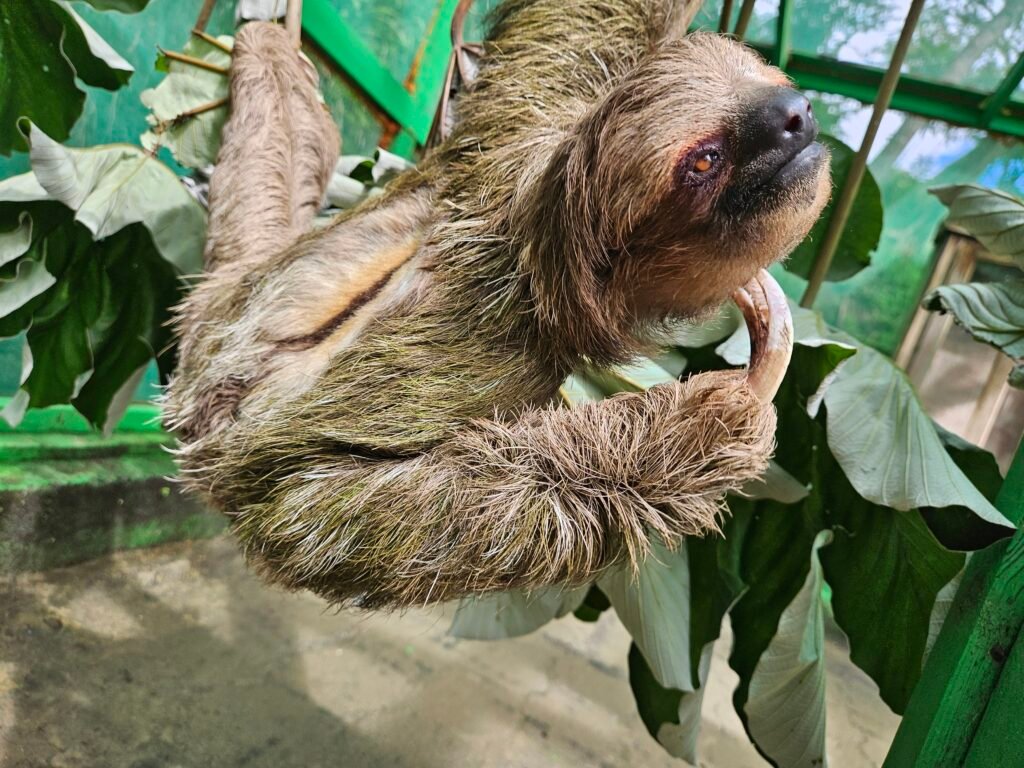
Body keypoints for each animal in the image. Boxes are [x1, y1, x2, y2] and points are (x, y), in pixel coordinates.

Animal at [163, 0, 831, 609]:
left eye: (773, 87)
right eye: (704, 160)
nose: (794, 114)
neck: (529, 250)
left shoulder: (517, 134)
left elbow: (580, 25)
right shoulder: (501, 341)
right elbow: (307, 500)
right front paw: (711, 420)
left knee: (282, 123)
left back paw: (265, 33)